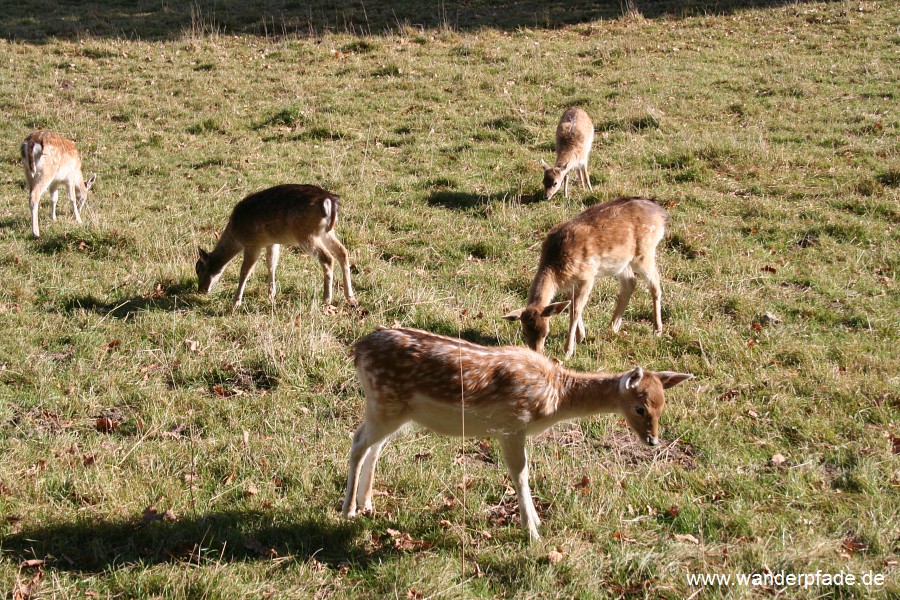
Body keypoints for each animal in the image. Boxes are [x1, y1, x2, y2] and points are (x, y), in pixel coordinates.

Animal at [195, 184, 356, 310]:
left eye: (199, 269)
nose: (201, 290)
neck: (236, 235)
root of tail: (329, 200)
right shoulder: (271, 242)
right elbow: (271, 263)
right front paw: (271, 294)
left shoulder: (253, 243)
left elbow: (245, 271)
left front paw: (235, 303)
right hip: (325, 232)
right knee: (342, 252)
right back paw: (351, 298)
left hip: (306, 234)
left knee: (328, 258)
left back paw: (326, 299)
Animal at [344, 326, 696, 540]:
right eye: (640, 408)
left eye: (662, 405)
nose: (653, 440)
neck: (555, 397)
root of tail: (357, 349)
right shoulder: (512, 424)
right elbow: (521, 473)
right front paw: (533, 532)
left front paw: (535, 523)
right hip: (384, 401)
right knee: (358, 441)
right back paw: (348, 510)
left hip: (396, 410)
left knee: (375, 446)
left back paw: (368, 503)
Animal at [506, 197, 668, 358]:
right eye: (524, 332)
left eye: (546, 332)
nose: (537, 353)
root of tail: (662, 215)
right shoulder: (568, 284)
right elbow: (572, 305)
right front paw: (581, 336)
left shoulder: (587, 276)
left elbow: (575, 310)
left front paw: (568, 350)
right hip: (622, 262)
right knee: (630, 282)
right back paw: (612, 328)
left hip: (644, 252)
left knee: (655, 283)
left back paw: (657, 329)